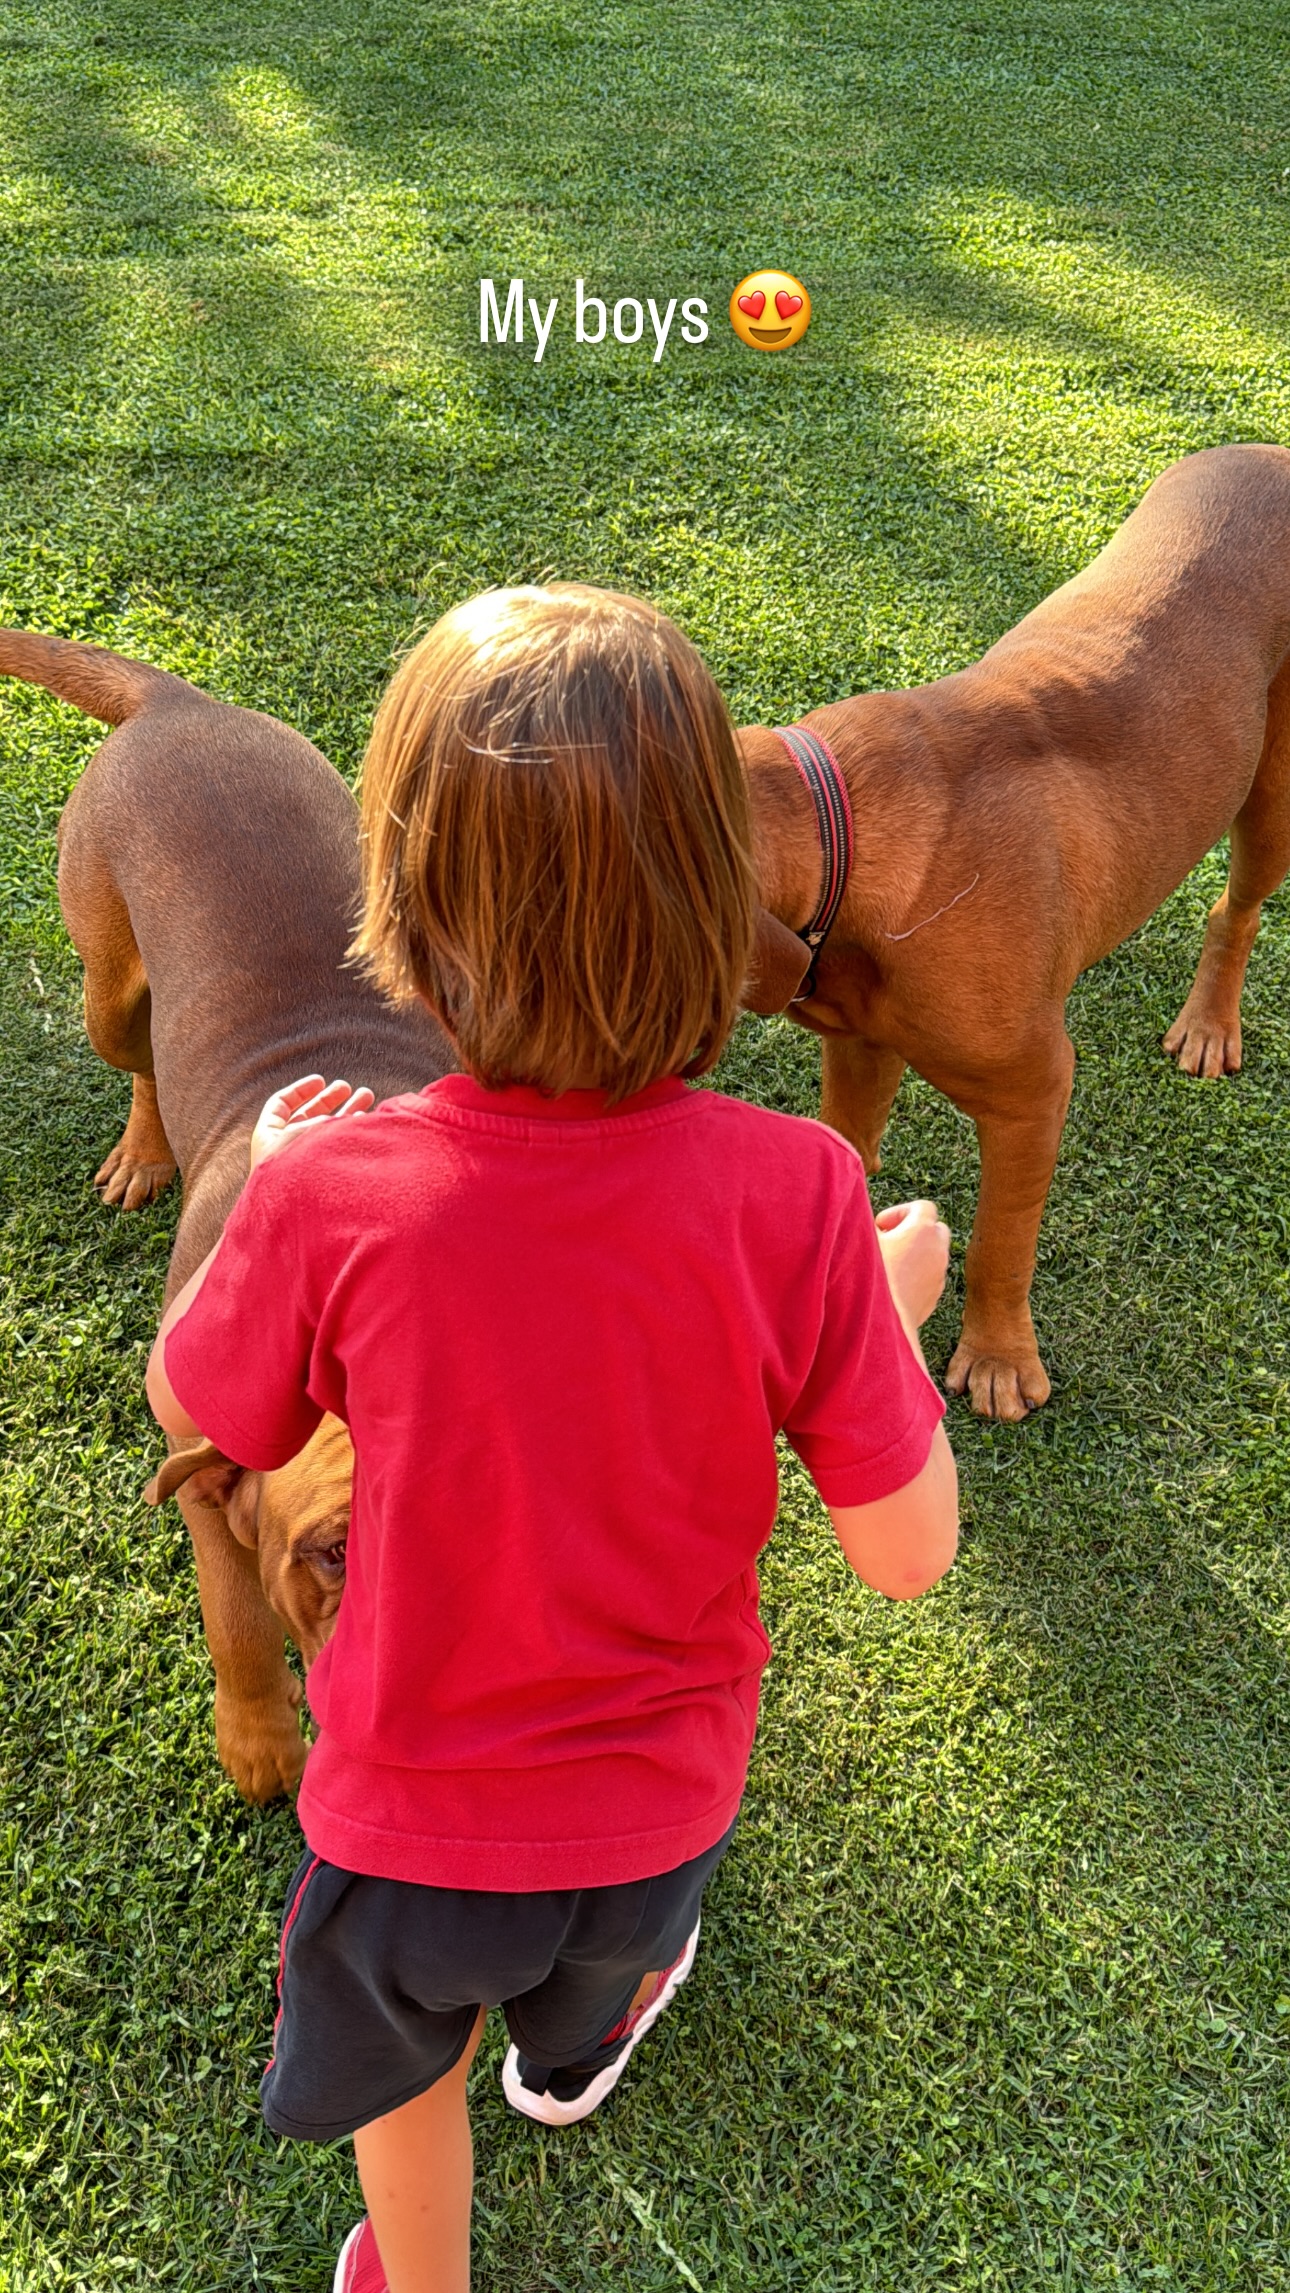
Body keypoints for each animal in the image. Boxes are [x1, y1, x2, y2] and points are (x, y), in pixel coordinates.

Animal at [0, 628, 455, 1788]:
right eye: (333, 1554)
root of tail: (180, 704)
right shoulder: (206, 1481)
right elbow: (237, 1623)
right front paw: (260, 1740)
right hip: (107, 984)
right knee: (141, 1062)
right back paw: (142, 1152)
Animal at [742, 442, 1290, 1412]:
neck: (833, 829)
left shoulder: (1033, 1093)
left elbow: (1002, 1238)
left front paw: (998, 1356)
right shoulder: (861, 1045)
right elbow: (851, 1138)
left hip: (1273, 794)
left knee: (1237, 904)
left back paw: (1208, 1023)